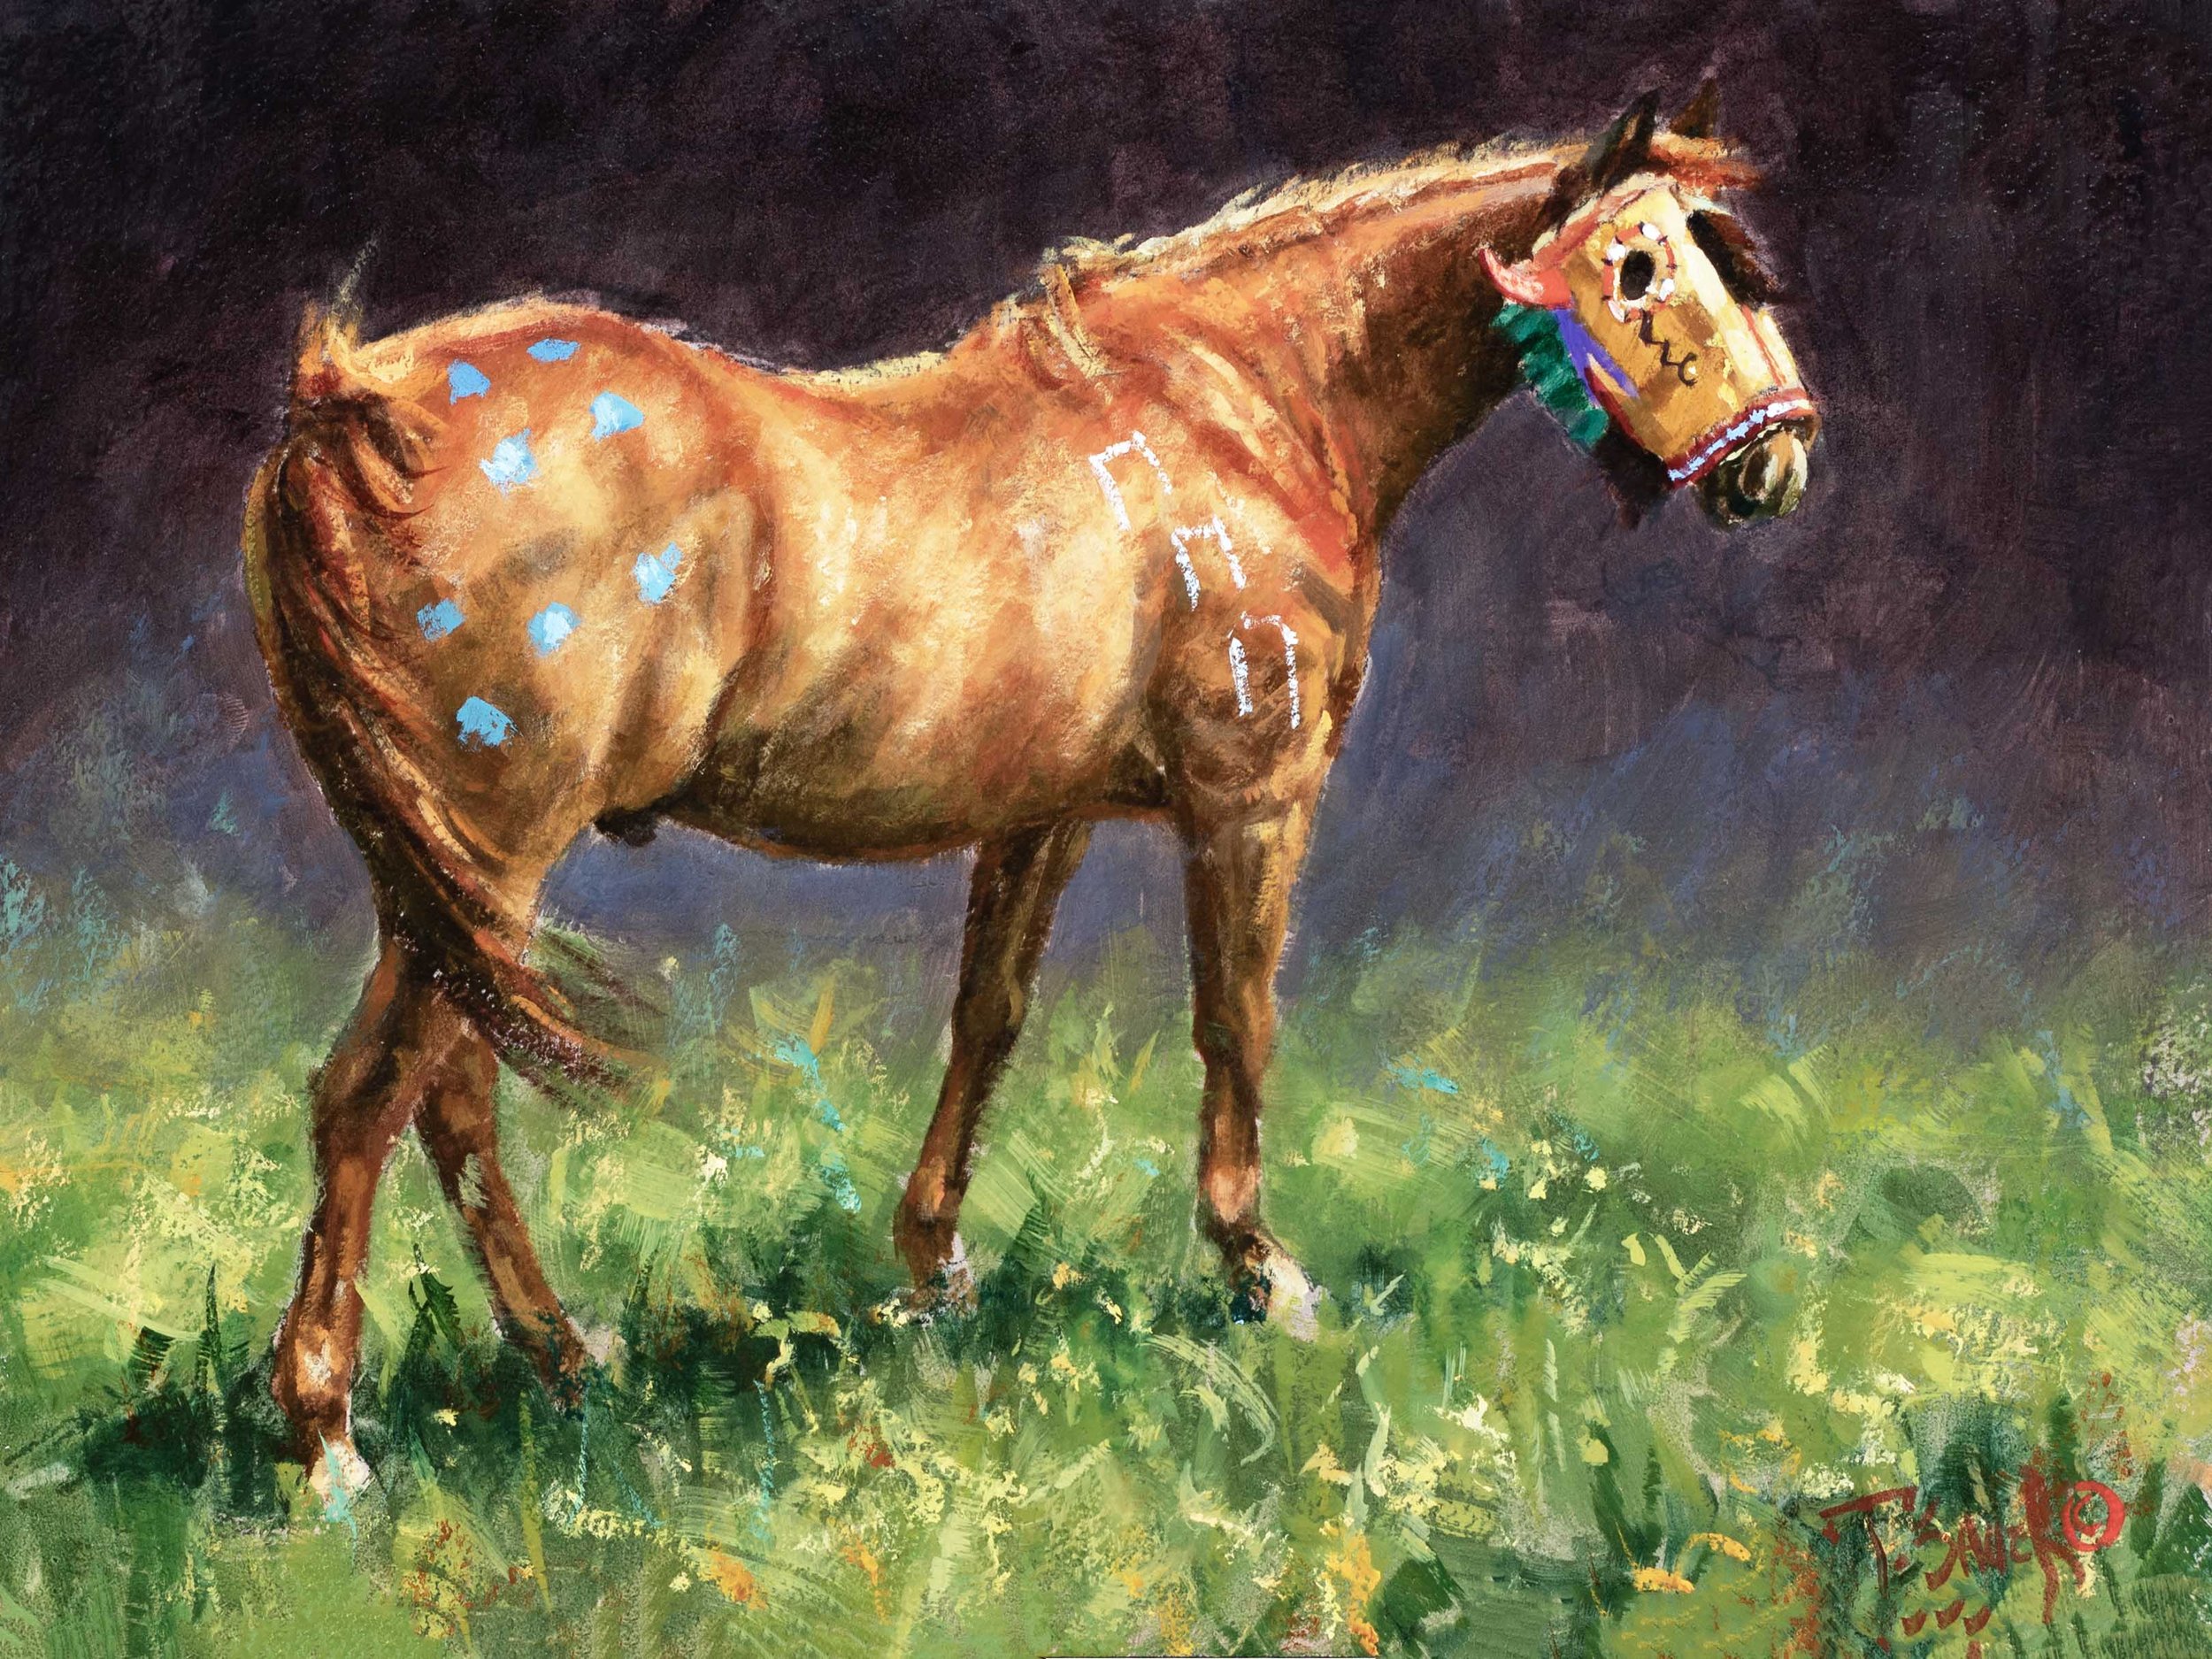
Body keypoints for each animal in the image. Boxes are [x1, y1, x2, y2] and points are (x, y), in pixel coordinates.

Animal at [242, 84, 1818, 1493]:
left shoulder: (1040, 814)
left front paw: (933, 1268)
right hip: (496, 847)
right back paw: (329, 1441)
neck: (1241, 406)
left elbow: (987, 1021)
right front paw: (1259, 1272)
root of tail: (355, 403)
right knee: (369, 1095)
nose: (1780, 465)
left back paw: (564, 1357)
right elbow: (1236, 1023)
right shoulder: (1250, 800)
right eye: (1638, 267)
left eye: (1725, 256)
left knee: (449, 1097)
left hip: (451, 879)